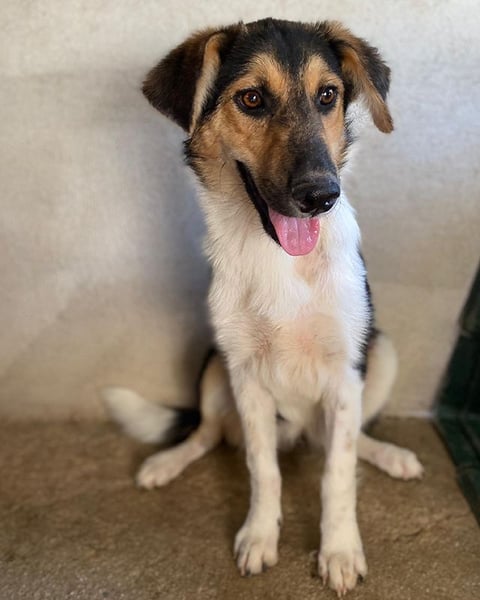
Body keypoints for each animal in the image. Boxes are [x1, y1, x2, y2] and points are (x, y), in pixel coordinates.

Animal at [104, 18, 424, 596]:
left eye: (328, 95)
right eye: (251, 98)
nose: (321, 195)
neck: (280, 257)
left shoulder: (346, 373)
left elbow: (336, 474)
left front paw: (339, 549)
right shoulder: (247, 373)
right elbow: (262, 467)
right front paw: (258, 535)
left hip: (380, 351)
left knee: (342, 441)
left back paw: (389, 455)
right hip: (214, 365)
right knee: (206, 433)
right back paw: (166, 462)